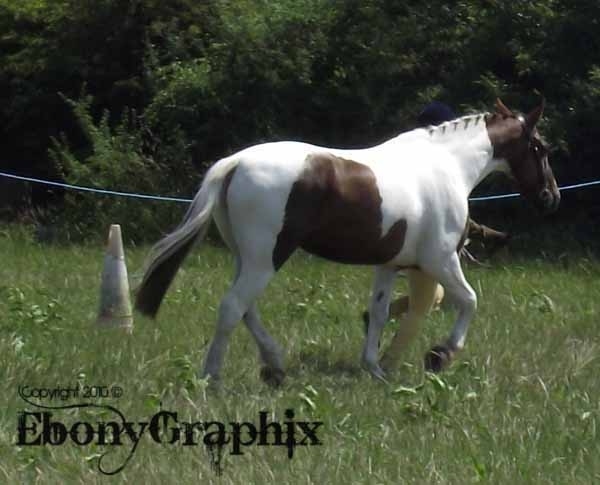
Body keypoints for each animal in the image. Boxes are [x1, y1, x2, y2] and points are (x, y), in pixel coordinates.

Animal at [135, 98, 560, 385]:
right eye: (540, 148)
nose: (551, 197)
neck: (447, 167)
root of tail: (234, 163)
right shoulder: (440, 261)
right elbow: (470, 301)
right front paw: (440, 355)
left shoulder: (389, 265)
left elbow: (379, 313)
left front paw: (375, 368)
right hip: (266, 258)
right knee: (233, 307)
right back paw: (213, 377)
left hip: (248, 257)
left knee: (245, 309)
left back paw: (274, 366)